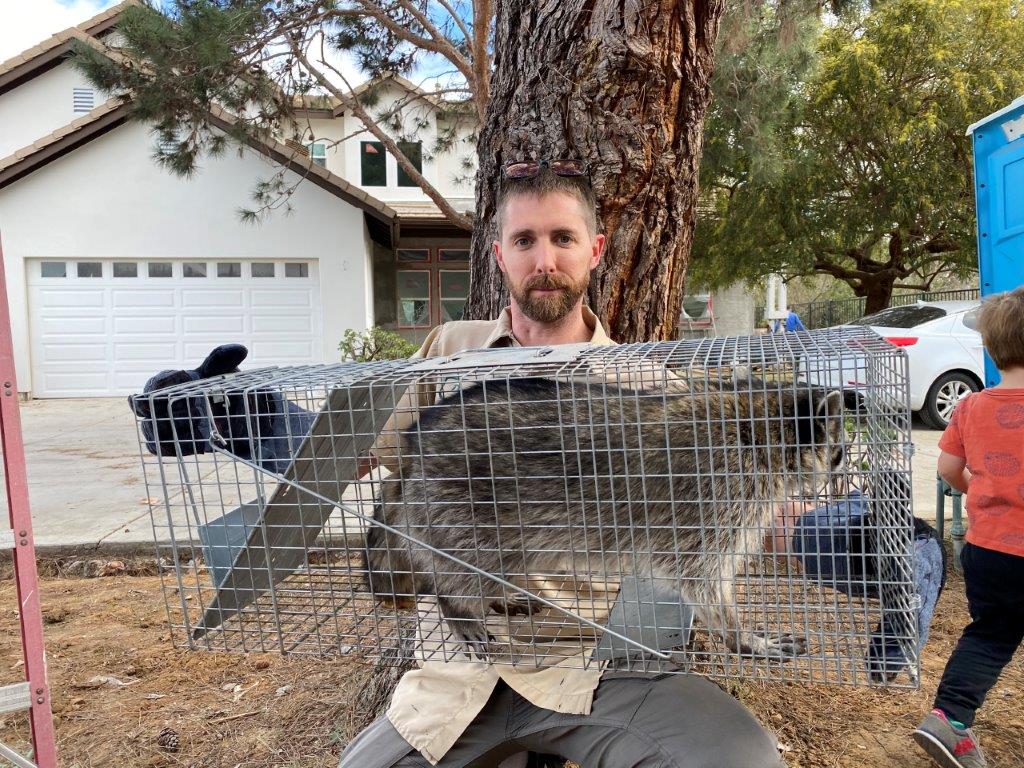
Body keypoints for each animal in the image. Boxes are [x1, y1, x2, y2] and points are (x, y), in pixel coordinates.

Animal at [364, 375, 845, 661]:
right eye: (840, 451)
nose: (841, 474)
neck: (762, 427)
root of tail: (412, 454)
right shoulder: (711, 499)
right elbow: (703, 579)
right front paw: (740, 636)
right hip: (462, 510)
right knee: (463, 573)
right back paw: (459, 607)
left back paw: (502, 595)